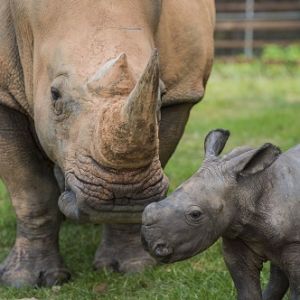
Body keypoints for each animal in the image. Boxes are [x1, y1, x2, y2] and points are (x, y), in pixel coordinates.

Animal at [0, 0, 216, 286]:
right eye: (54, 95)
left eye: (162, 94)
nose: (123, 196)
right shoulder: (3, 95)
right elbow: (30, 190)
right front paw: (26, 280)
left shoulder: (181, 93)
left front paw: (130, 266)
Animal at [142, 130, 300, 300]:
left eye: (195, 215)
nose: (148, 243)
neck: (248, 188)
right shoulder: (237, 236)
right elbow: (247, 290)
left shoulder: (293, 242)